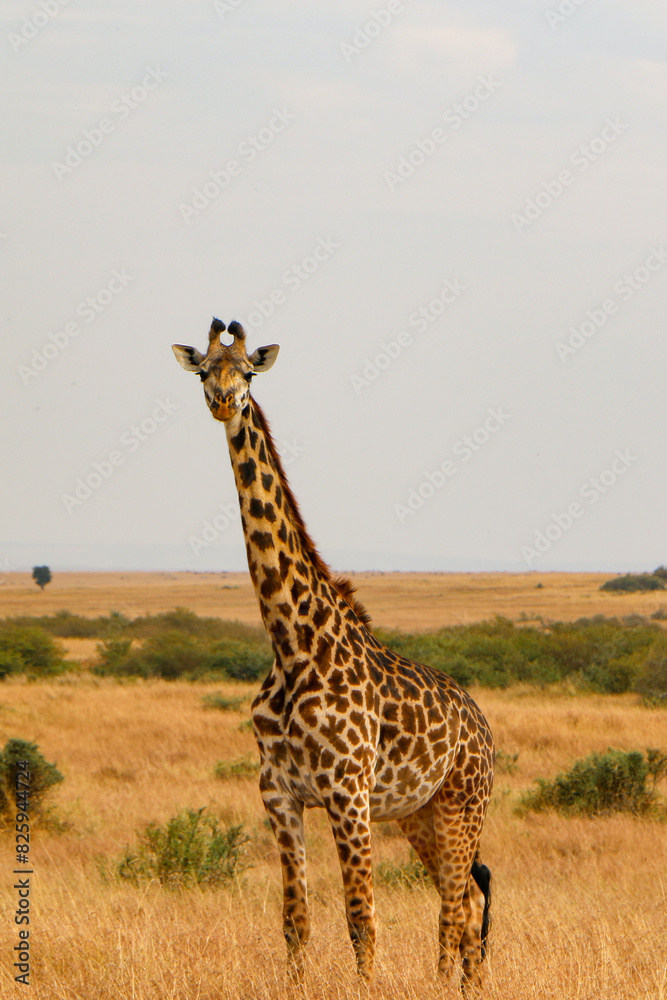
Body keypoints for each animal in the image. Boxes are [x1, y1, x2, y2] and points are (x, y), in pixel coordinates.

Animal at [173, 318, 495, 993]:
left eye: (248, 372)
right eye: (203, 371)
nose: (223, 402)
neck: (294, 645)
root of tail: (482, 726)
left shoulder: (348, 792)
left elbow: (361, 918)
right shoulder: (278, 794)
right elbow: (296, 921)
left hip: (463, 803)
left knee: (457, 904)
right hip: (418, 815)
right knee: (462, 902)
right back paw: (460, 984)